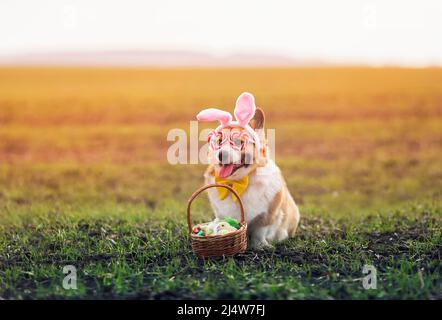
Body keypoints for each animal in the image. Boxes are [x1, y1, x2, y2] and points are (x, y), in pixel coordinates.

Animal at [197, 91, 300, 249]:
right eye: (219, 142)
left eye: (239, 142)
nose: (221, 154)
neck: (238, 182)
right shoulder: (220, 213)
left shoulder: (266, 216)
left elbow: (260, 231)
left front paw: (260, 246)